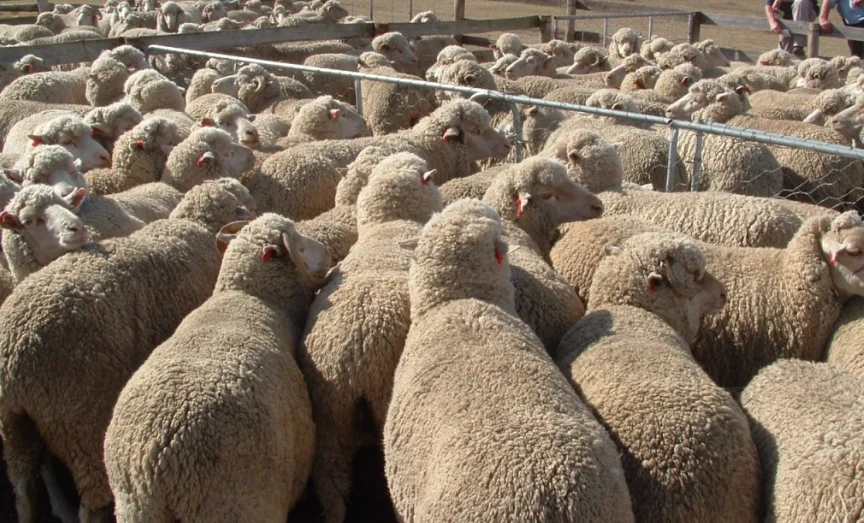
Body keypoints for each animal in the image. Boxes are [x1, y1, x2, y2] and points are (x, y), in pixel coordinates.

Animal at [0, 178, 254, 523]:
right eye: (30, 220)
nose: (77, 228)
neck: (198, 225)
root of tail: (14, 353)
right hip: (81, 417)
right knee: (90, 502)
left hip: (15, 426)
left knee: (24, 488)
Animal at [104, 213, 329, 522]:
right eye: (298, 243)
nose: (328, 253)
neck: (250, 298)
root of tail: (155, 464)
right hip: (233, 505)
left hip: (134, 508)